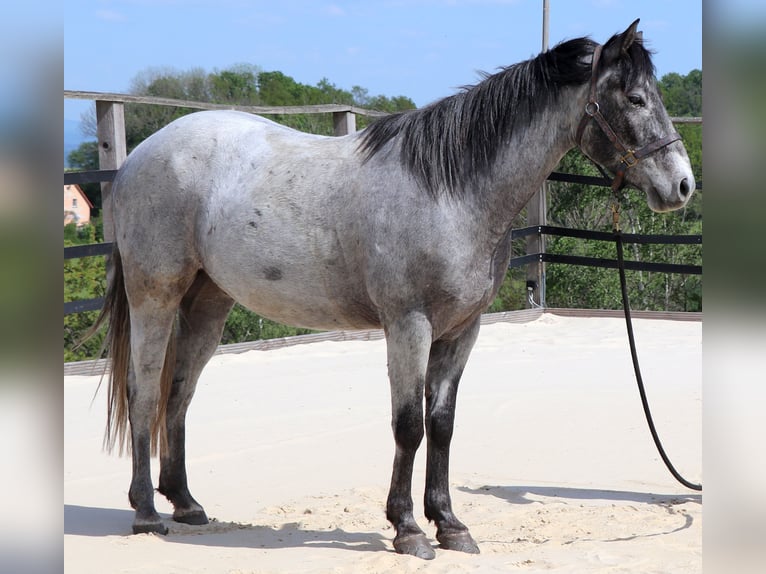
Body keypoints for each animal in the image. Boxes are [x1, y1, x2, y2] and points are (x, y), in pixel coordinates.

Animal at [88, 20, 696, 560]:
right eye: (636, 98)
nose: (683, 186)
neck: (451, 189)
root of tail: (141, 155)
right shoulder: (409, 325)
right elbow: (408, 425)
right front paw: (408, 529)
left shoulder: (462, 330)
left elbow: (442, 425)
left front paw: (450, 524)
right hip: (155, 296)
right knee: (145, 392)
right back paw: (146, 512)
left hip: (208, 304)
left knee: (179, 395)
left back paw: (186, 503)